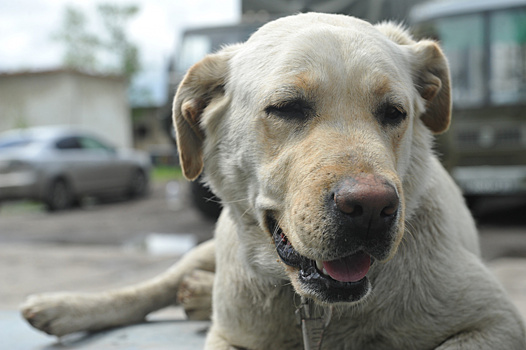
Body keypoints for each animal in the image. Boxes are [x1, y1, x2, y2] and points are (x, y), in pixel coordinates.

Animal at [22, 12, 524, 348]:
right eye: (287, 108)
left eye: (394, 113)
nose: (371, 208)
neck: (317, 307)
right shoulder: (229, 336)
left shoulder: (497, 321)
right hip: (213, 246)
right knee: (157, 285)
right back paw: (63, 307)